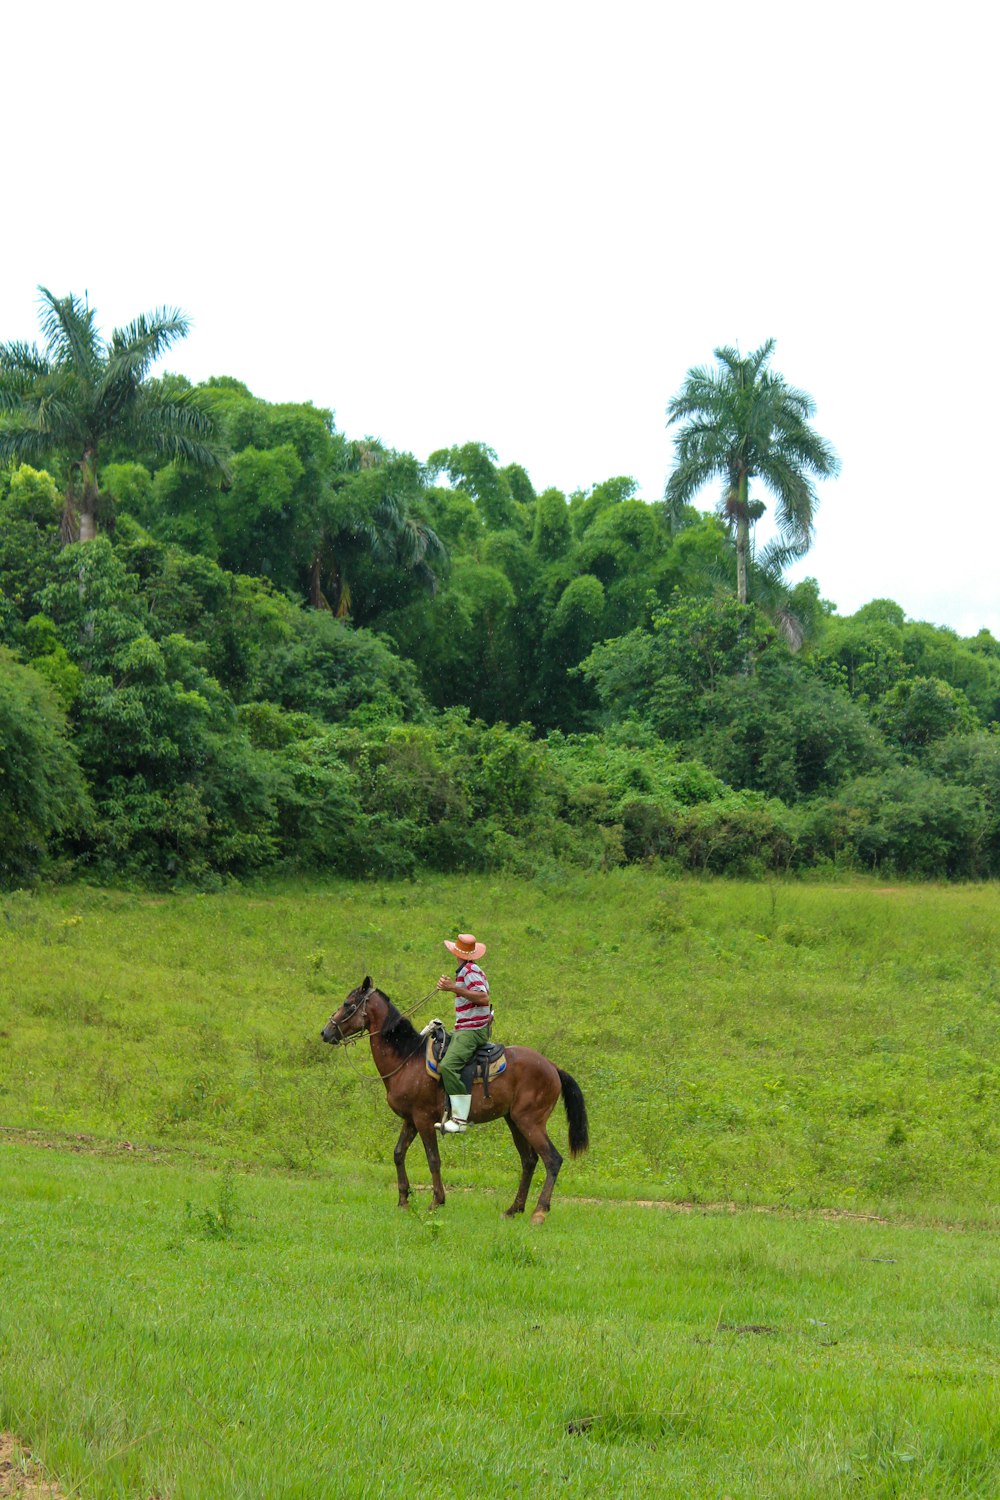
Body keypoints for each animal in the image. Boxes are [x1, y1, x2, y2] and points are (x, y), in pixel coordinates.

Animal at [320, 984, 587, 1218]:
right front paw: (404, 1200)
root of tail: (553, 1067)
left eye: (348, 1004)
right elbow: (398, 1154)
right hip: (514, 1121)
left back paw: (539, 1211)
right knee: (529, 1161)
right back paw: (514, 1209)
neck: (407, 1058)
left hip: (530, 1122)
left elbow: (433, 1160)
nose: (325, 1032)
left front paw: (436, 1201)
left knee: (552, 1160)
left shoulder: (424, 1119)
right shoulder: (410, 1120)